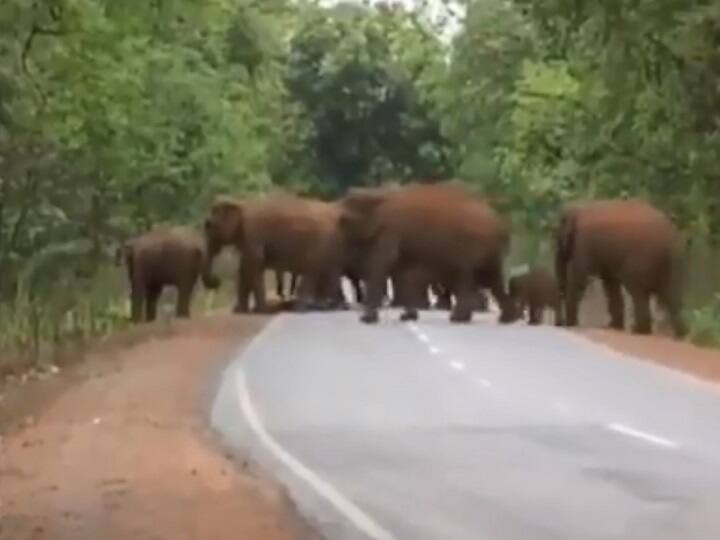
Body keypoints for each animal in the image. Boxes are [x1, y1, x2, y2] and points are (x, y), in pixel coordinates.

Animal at [203, 194, 345, 314]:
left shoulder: (252, 235)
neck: (241, 203)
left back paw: (301, 309)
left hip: (319, 244)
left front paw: (259, 311)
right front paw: (240, 311)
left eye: (208, 225)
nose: (216, 281)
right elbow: (244, 269)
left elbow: (253, 267)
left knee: (312, 272)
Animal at [338, 182, 517, 324]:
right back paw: (507, 319)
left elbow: (382, 267)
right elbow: (403, 273)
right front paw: (408, 317)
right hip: (489, 251)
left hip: (471, 245)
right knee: (492, 279)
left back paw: (458, 319)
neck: (379, 193)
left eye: (344, 220)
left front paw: (366, 320)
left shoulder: (391, 231)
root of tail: (501, 225)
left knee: (465, 277)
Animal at [555, 198, 686, 337]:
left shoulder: (583, 242)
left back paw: (638, 331)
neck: (577, 209)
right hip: (675, 263)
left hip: (642, 261)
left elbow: (579, 278)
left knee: (637, 291)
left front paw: (571, 325)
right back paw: (679, 336)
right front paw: (614, 327)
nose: (561, 323)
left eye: (558, 239)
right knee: (672, 298)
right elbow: (610, 283)